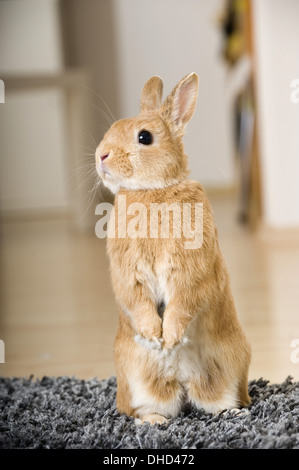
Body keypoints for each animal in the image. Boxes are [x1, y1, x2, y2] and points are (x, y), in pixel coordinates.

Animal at [95, 73, 251, 426]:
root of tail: (182, 382)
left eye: (144, 137)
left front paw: (170, 337)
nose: (101, 155)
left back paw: (236, 413)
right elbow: (137, 300)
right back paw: (155, 421)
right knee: (147, 407)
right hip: (136, 378)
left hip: (230, 367)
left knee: (215, 401)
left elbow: (182, 301)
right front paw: (156, 337)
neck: (154, 189)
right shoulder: (129, 273)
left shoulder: (190, 271)